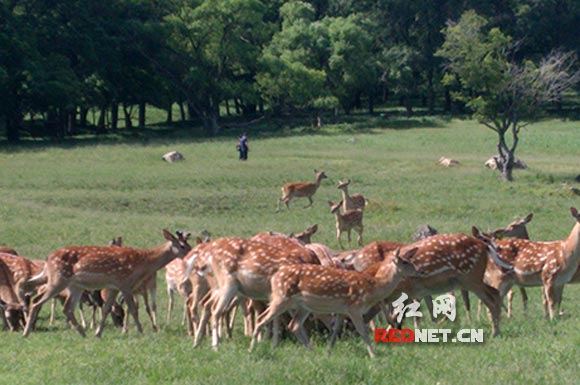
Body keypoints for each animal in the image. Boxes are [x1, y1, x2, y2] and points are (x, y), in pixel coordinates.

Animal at [22, 228, 191, 336]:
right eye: (182, 245)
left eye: (188, 244)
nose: (192, 252)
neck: (142, 262)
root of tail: (48, 259)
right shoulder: (125, 282)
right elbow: (133, 309)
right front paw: (141, 332)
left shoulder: (114, 286)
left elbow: (106, 309)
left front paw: (98, 333)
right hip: (58, 279)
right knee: (37, 301)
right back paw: (26, 332)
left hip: (74, 285)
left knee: (66, 307)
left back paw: (83, 333)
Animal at [249, 246, 422, 356]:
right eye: (405, 262)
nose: (417, 270)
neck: (372, 288)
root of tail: (274, 277)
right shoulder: (354, 307)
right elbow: (363, 331)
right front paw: (373, 355)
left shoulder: (341, 311)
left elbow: (335, 329)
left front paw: (328, 352)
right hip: (281, 298)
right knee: (262, 319)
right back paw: (252, 350)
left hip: (301, 305)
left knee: (293, 325)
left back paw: (312, 352)